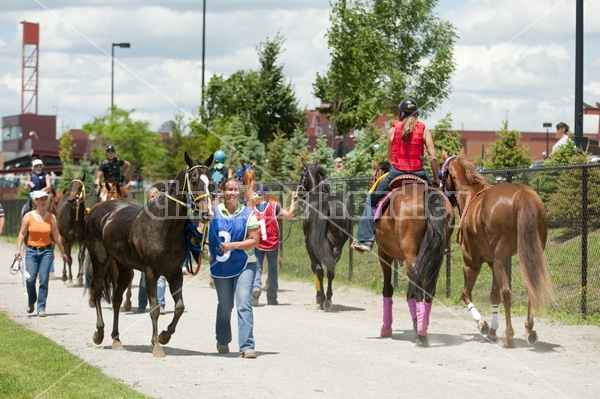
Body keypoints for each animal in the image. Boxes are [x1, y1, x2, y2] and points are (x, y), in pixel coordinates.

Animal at [85, 152, 213, 356]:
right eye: (193, 181)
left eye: (211, 182)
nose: (206, 214)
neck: (164, 227)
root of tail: (98, 209)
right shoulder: (151, 272)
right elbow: (154, 308)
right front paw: (157, 345)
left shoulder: (174, 272)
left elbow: (179, 307)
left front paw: (164, 336)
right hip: (101, 261)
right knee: (97, 293)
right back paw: (99, 333)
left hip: (124, 268)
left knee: (117, 299)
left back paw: (116, 338)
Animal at [296, 158, 350, 310]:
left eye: (302, 174)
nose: (299, 192)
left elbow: (315, 269)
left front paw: (318, 296)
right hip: (337, 246)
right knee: (331, 270)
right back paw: (328, 299)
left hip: (311, 245)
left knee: (319, 269)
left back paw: (322, 299)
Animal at [370, 161, 454, 346]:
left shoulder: (384, 255)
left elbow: (388, 289)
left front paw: (386, 329)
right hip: (434, 257)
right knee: (428, 289)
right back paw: (422, 329)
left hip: (411, 257)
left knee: (417, 289)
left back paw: (420, 333)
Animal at [440, 153, 552, 346]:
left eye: (441, 173)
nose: (438, 188)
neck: (472, 194)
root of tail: (521, 194)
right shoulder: (494, 263)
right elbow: (493, 295)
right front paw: (492, 330)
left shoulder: (472, 264)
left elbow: (466, 293)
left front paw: (483, 325)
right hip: (527, 256)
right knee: (531, 286)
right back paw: (529, 329)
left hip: (499, 259)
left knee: (506, 293)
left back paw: (509, 335)